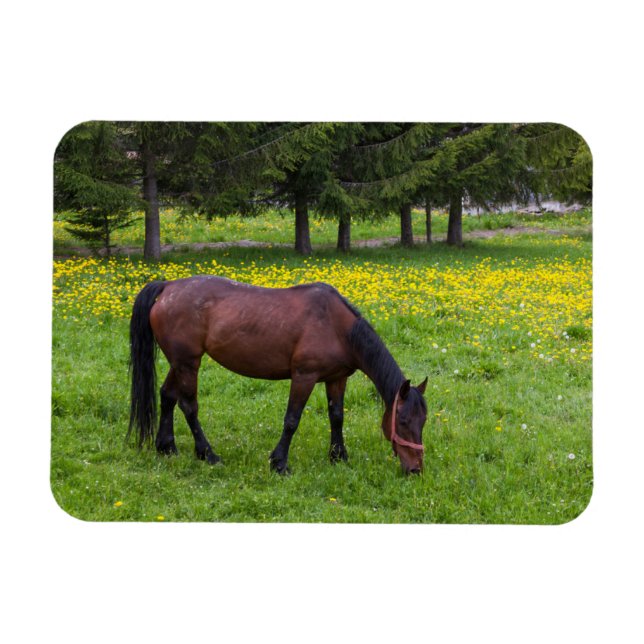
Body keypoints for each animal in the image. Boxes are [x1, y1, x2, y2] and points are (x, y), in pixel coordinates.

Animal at [128, 276, 428, 474]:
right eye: (402, 421)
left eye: (422, 422)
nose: (416, 469)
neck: (337, 327)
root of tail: (168, 286)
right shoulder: (304, 377)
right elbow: (292, 420)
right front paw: (279, 463)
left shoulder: (336, 378)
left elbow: (337, 417)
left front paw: (338, 456)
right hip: (188, 364)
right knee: (189, 406)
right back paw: (207, 454)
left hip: (180, 363)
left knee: (167, 395)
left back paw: (166, 447)